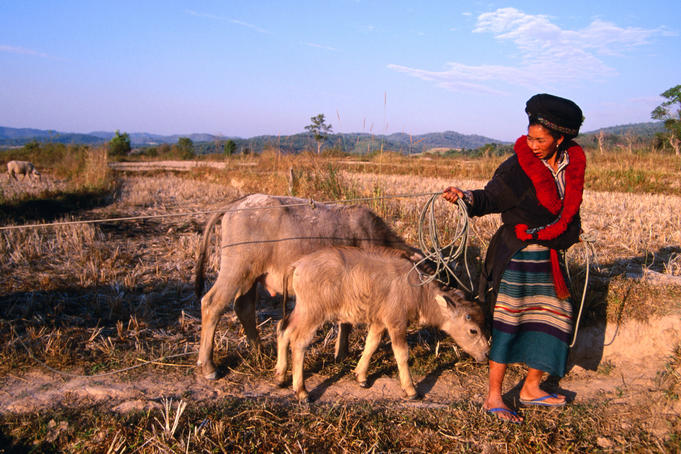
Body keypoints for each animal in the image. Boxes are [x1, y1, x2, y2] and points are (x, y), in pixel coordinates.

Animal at [194, 194, 420, 380]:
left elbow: (345, 323)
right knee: (212, 304)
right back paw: (208, 366)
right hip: (236, 270)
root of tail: (237, 204)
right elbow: (347, 323)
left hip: (250, 277)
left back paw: (259, 352)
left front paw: (341, 352)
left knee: (244, 308)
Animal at [274, 246, 489, 401]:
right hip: (313, 313)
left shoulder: (379, 322)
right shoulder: (396, 323)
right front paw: (411, 390)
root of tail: (298, 264)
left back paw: (280, 377)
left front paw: (360, 376)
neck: (417, 289)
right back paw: (301, 391)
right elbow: (401, 354)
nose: (487, 354)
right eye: (473, 330)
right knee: (299, 343)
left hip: (301, 311)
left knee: (283, 329)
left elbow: (371, 344)